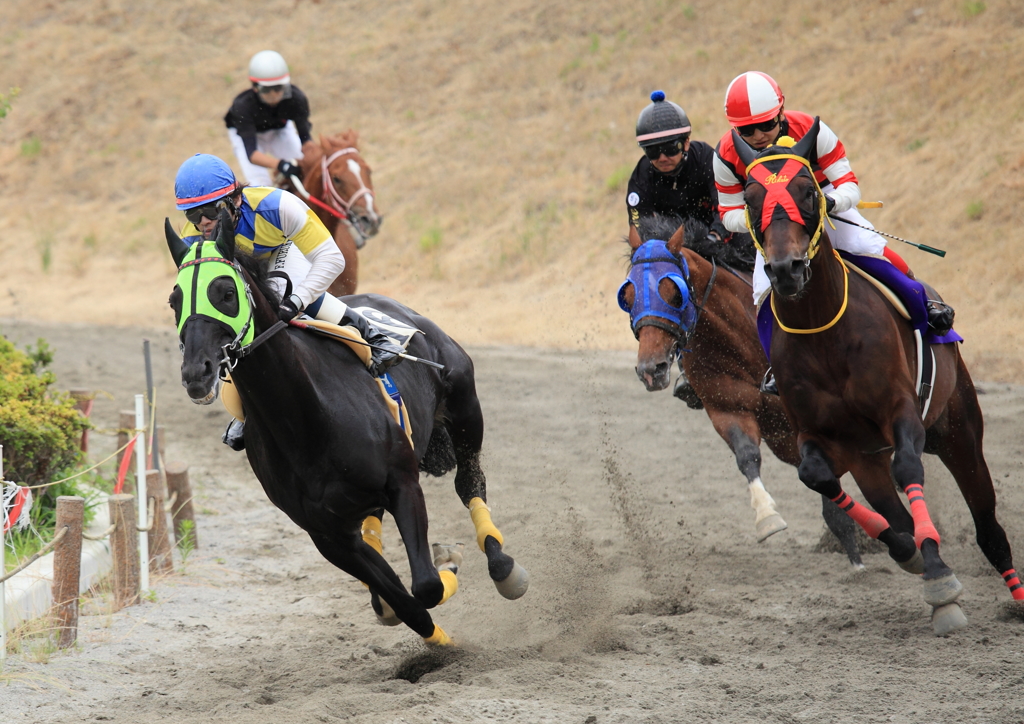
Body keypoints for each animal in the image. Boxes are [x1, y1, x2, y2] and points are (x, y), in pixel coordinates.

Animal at [614, 218, 864, 565]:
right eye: (628, 293)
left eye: (674, 292)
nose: (652, 369)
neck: (742, 342)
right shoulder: (728, 408)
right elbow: (747, 456)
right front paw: (767, 517)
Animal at [741, 120, 1019, 634]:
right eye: (750, 198)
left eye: (808, 191)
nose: (786, 270)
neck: (823, 332)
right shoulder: (820, 434)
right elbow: (817, 476)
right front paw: (914, 556)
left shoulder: (900, 408)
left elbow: (909, 469)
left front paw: (939, 578)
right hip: (867, 458)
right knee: (891, 505)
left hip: (959, 429)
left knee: (989, 527)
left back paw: (1015, 595)